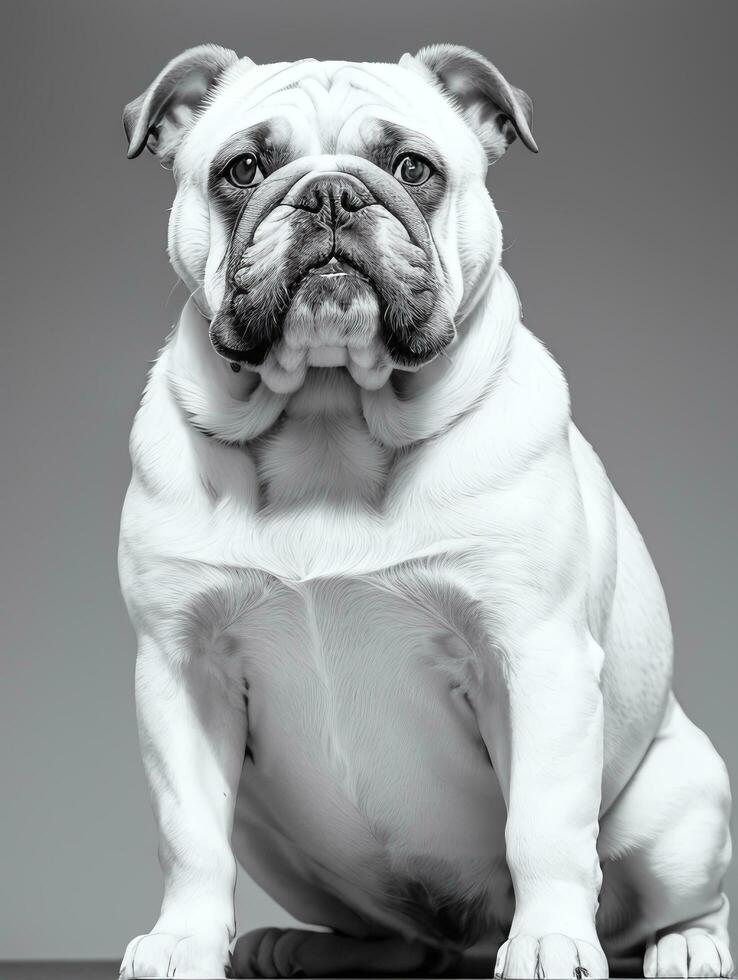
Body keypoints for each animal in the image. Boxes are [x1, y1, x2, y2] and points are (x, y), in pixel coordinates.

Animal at [119, 46, 732, 980]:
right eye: (243, 170)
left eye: (413, 169)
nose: (332, 193)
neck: (331, 416)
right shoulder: (180, 668)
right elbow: (190, 835)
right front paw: (184, 940)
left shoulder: (536, 658)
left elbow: (545, 826)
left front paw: (551, 940)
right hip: (275, 839)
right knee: (402, 940)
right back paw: (298, 946)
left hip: (680, 808)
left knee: (688, 901)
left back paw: (686, 947)